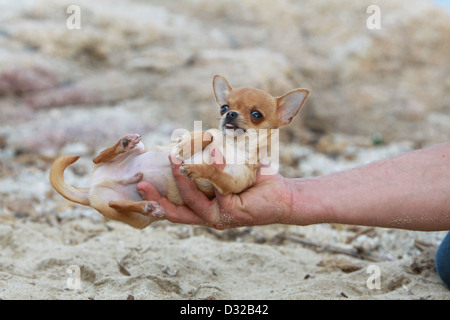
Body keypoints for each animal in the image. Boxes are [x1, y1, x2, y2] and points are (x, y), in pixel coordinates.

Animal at [49, 75, 310, 229]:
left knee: (118, 205)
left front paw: (197, 168)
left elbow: (217, 172)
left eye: (256, 114)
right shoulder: (209, 134)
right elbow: (206, 134)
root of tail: (91, 189)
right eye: (224, 107)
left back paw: (147, 205)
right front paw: (187, 146)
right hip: (130, 155)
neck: (233, 145)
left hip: (134, 216)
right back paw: (124, 143)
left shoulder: (232, 183)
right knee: (98, 157)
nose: (230, 114)